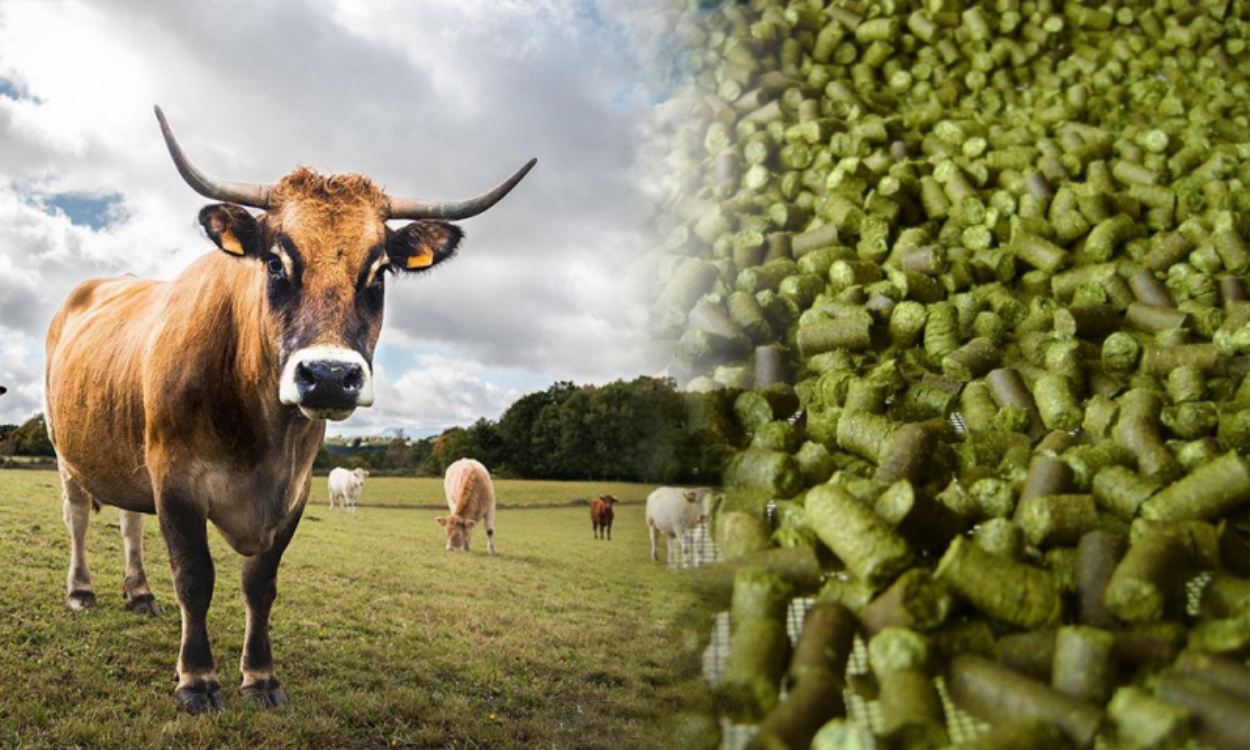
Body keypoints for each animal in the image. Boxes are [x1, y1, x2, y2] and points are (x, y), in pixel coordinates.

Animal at [42, 106, 533, 714]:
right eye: (275, 264)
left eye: (379, 272)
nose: (329, 375)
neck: (260, 432)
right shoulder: (175, 480)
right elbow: (195, 578)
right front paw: (197, 679)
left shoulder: (293, 491)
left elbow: (260, 584)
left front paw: (260, 676)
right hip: (67, 454)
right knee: (79, 519)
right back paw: (81, 591)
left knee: (130, 522)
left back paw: (138, 594)